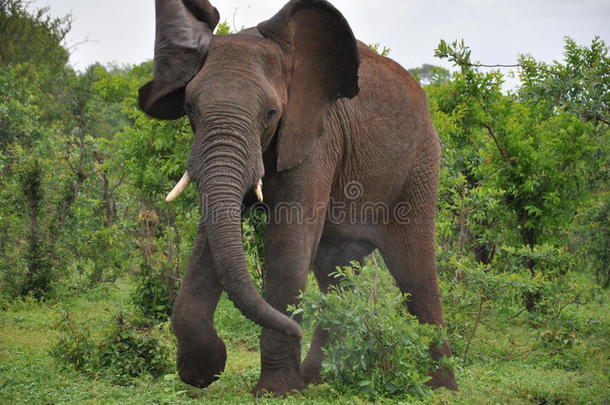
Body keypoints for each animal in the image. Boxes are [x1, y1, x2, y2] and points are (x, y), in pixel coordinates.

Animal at [137, 0, 456, 394]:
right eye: (189, 109)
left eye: (271, 113)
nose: (293, 330)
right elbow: (208, 244)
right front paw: (203, 370)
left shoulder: (317, 138)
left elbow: (288, 247)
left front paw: (277, 390)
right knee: (336, 274)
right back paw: (318, 377)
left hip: (419, 165)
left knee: (415, 272)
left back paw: (441, 388)